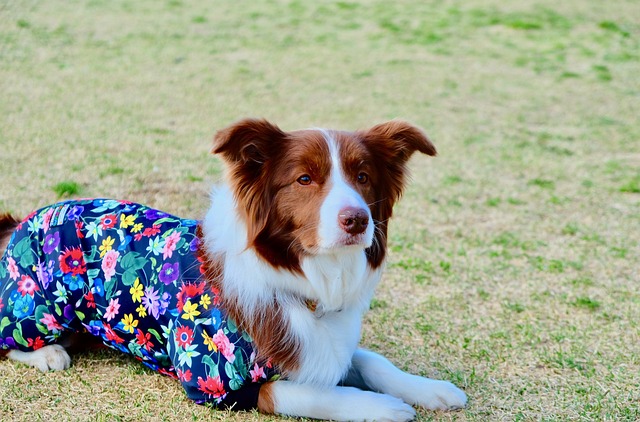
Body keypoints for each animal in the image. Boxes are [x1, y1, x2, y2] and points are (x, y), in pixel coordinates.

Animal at [0, 119, 464, 422]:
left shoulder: (321, 345)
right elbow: (304, 393)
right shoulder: (217, 383)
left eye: (363, 177)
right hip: (38, 308)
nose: (357, 220)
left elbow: (370, 360)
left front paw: (430, 389)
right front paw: (379, 407)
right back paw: (48, 354)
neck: (306, 282)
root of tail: (20, 222)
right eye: (304, 179)